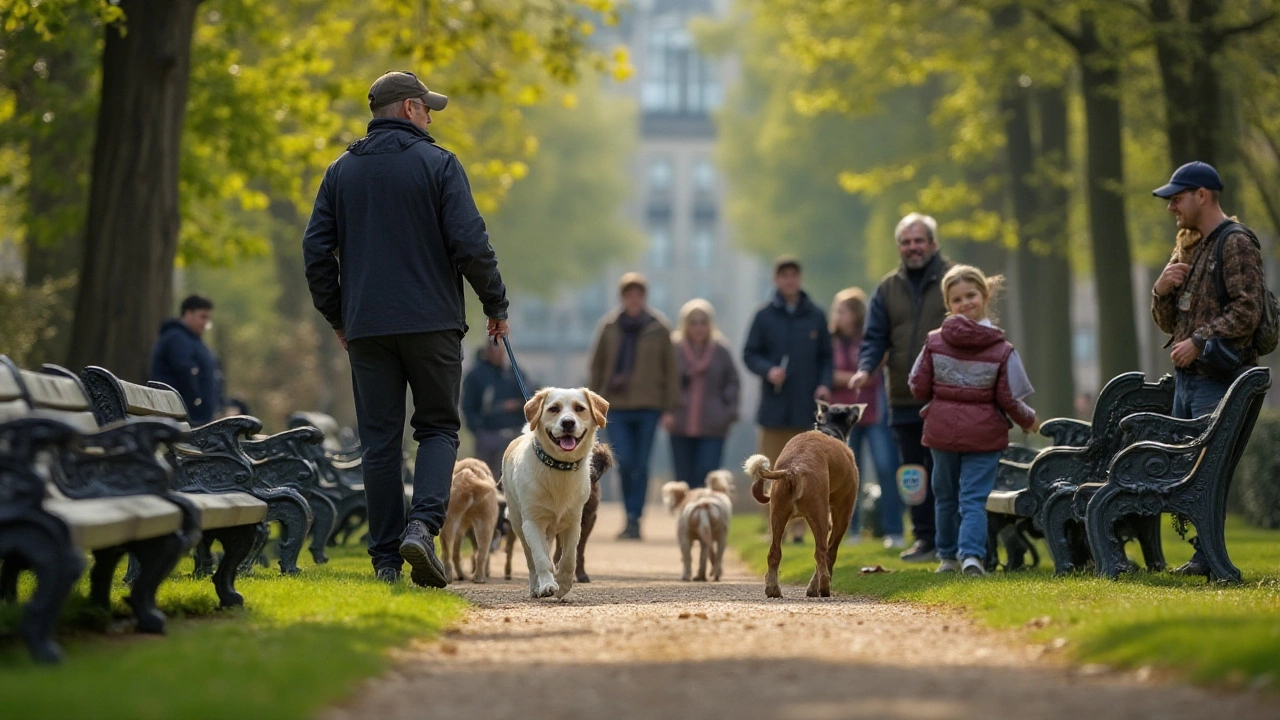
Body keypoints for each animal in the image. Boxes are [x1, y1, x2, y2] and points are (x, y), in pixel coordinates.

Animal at [499, 384, 609, 597]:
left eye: (579, 408)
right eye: (553, 409)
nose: (568, 422)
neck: (560, 468)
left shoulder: (575, 521)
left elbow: (569, 557)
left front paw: (564, 584)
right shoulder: (532, 523)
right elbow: (541, 559)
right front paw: (548, 585)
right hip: (518, 522)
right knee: (531, 559)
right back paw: (536, 587)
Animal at [747, 399, 865, 597]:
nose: (859, 405)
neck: (828, 429)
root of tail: (794, 470)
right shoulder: (842, 514)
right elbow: (831, 553)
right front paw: (815, 587)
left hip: (778, 516)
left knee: (774, 552)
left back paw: (773, 589)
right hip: (821, 517)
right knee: (821, 553)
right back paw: (823, 588)